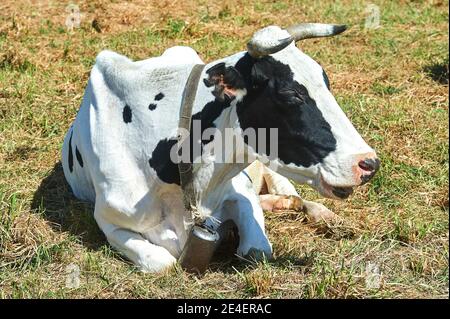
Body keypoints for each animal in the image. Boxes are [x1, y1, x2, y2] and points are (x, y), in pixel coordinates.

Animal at [61, 23, 380, 272]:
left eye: (326, 82)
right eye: (291, 94)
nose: (369, 163)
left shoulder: (240, 187)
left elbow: (256, 251)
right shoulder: (108, 219)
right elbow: (163, 263)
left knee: (297, 197)